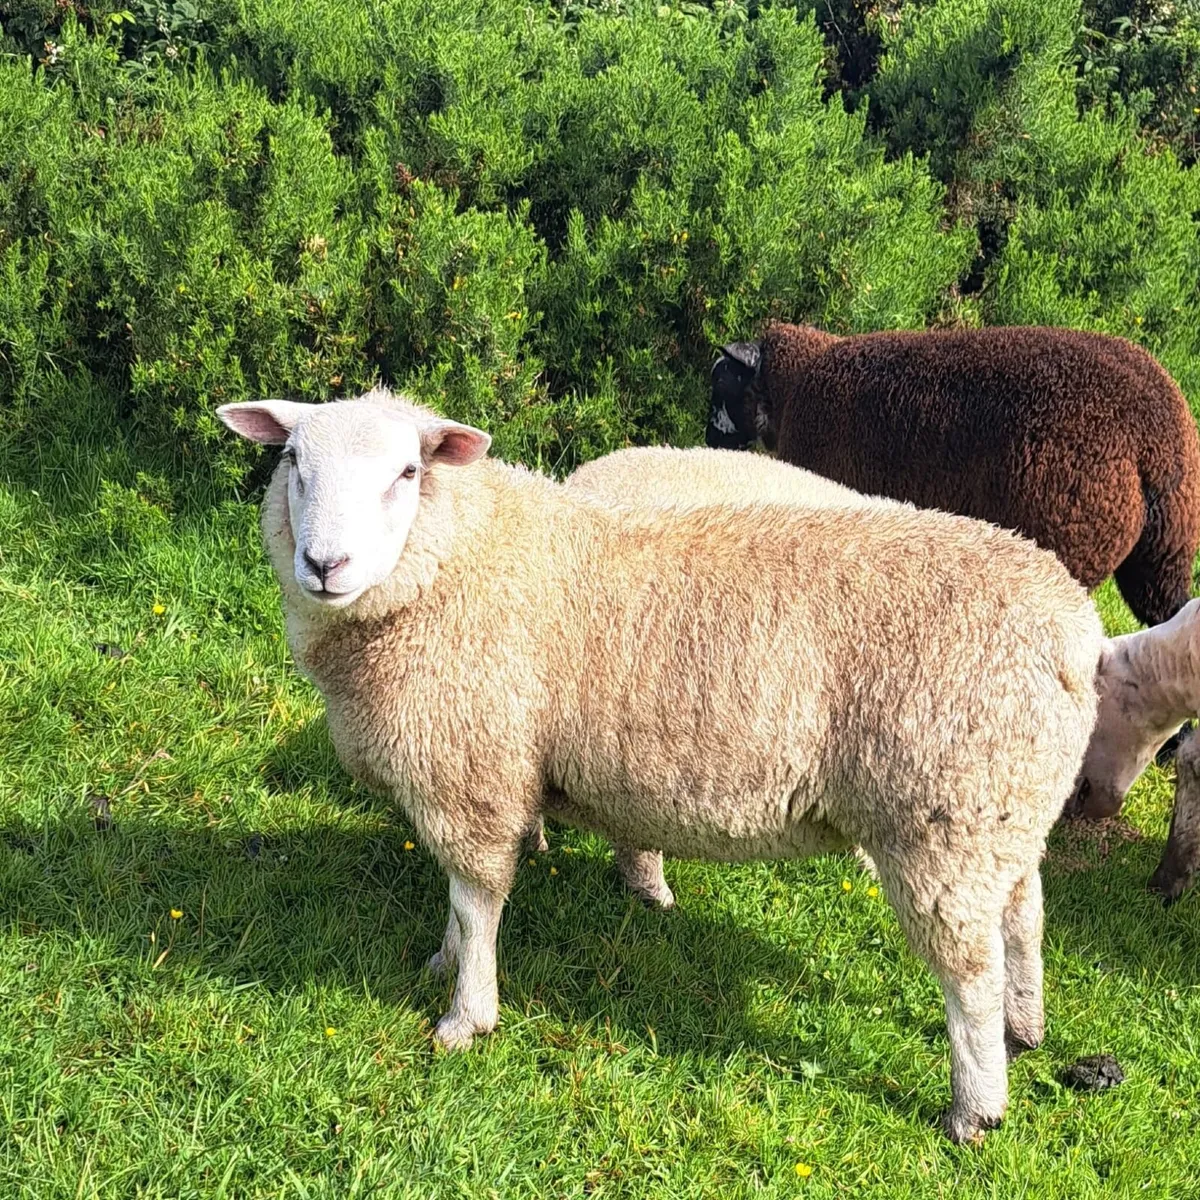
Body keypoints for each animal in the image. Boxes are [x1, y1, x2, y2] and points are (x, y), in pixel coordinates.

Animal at [217, 389, 1103, 1144]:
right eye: (293, 460)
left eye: (407, 472)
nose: (324, 564)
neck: (458, 561)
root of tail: (1075, 628)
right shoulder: (465, 777)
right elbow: (458, 906)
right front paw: (442, 961)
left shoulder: (471, 772)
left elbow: (476, 902)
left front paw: (466, 1016)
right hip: (1003, 810)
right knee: (1023, 919)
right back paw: (1026, 1027)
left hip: (941, 818)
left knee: (971, 974)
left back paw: (975, 1107)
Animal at [708, 323, 1200, 629]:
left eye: (722, 384)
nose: (710, 438)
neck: (793, 389)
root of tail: (1153, 445)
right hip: (1163, 554)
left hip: (1068, 537)